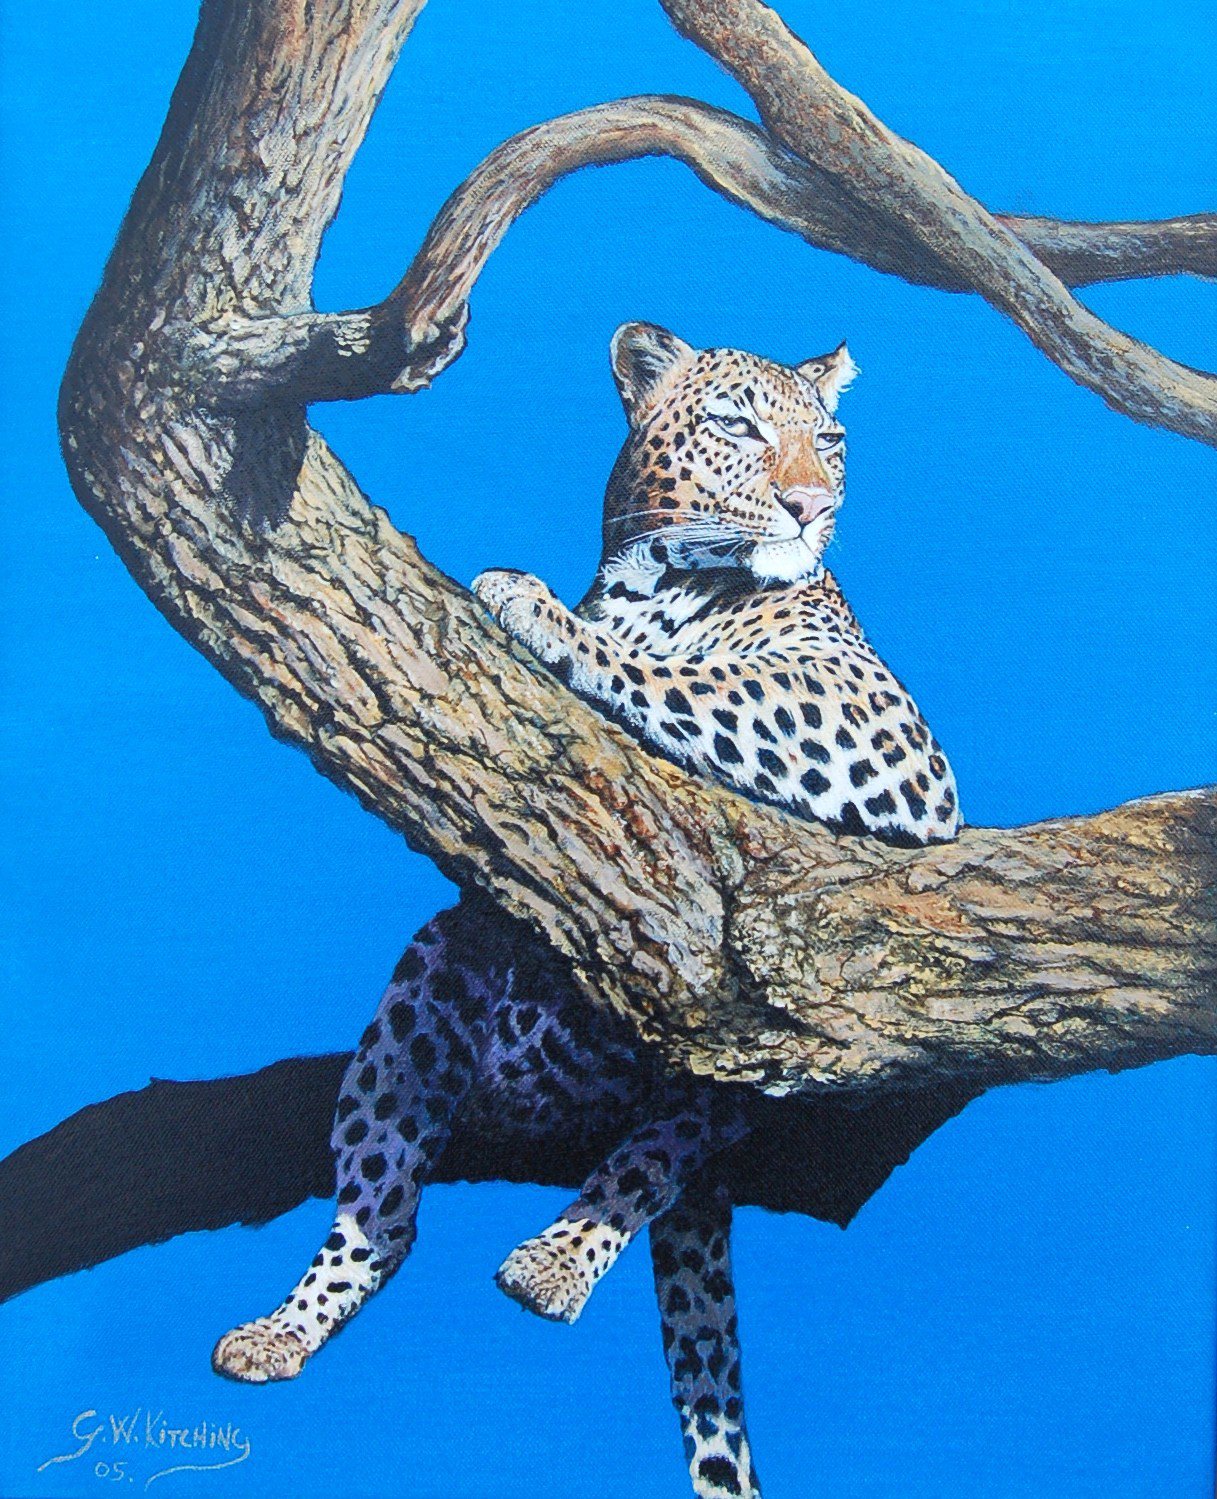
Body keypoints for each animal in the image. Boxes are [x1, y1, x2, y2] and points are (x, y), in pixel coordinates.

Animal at [212, 322, 961, 1499]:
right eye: (738, 426)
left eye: (829, 440)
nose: (807, 506)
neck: (656, 582)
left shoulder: (883, 741)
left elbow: (687, 681)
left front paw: (533, 604)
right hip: (432, 983)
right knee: (385, 1209)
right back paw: (284, 1327)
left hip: (743, 1052)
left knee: (665, 1142)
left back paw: (553, 1263)